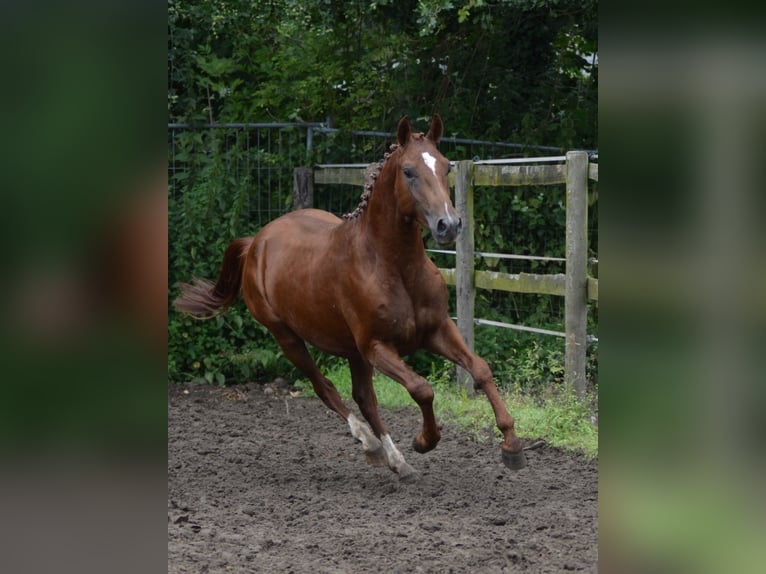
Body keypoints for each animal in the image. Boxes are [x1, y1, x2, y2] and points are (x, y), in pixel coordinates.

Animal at [176, 116, 528, 482]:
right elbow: (422, 389)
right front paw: (424, 441)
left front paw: (512, 447)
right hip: (288, 338)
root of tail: (256, 242)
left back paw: (396, 460)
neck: (393, 267)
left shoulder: (437, 330)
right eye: (408, 171)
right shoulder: (377, 346)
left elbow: (481, 370)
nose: (449, 224)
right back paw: (371, 445)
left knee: (364, 397)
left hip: (350, 350)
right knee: (327, 389)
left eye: (446, 166)